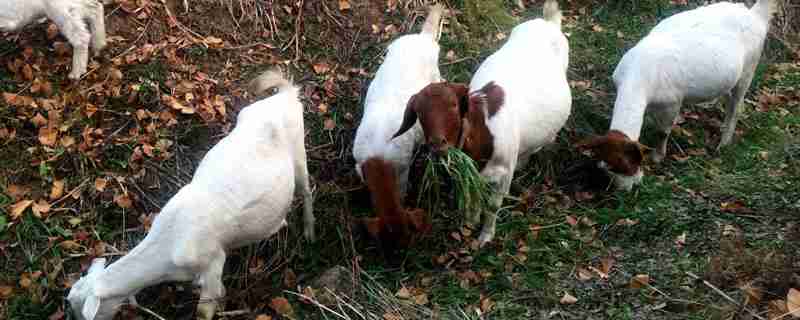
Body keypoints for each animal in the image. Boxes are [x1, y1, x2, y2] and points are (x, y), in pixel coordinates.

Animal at [66, 69, 316, 320]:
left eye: (86, 314)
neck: (169, 245)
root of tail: (286, 95)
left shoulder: (213, 263)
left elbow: (204, 311)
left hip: (299, 151)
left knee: (306, 190)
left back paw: (309, 231)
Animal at [352, 4, 444, 250]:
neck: (378, 159)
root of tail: (423, 38)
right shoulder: (359, 162)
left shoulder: (403, 168)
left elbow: (402, 191)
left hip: (435, 74)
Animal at [392, 0, 568, 248]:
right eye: (418, 112)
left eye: (454, 106)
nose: (437, 144)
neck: (485, 133)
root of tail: (547, 21)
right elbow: (474, 196)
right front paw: (469, 222)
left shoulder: (504, 172)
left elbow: (493, 205)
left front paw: (485, 237)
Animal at [580, 0, 780, 190]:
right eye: (605, 168)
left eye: (629, 164)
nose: (625, 190)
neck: (638, 78)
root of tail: (755, 15)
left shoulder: (672, 102)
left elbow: (663, 131)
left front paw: (658, 157)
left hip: (749, 67)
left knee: (736, 106)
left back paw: (723, 144)